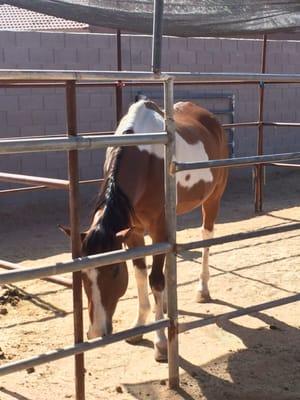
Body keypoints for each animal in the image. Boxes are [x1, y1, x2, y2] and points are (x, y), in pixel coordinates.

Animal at [59, 97, 227, 362]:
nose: (96, 331)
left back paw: (202, 290)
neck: (144, 161)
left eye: (114, 271)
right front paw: (139, 328)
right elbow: (140, 275)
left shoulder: (157, 228)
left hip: (213, 199)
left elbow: (155, 280)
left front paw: (161, 343)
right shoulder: (134, 232)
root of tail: (210, 118)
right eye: (83, 275)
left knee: (207, 237)